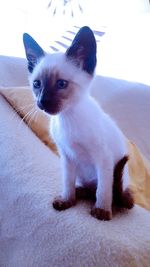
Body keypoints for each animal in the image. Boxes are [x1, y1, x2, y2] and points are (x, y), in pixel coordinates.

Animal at [23, 26, 134, 221]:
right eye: (37, 84)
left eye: (61, 84)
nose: (42, 102)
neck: (67, 118)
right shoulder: (66, 156)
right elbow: (67, 182)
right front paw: (67, 200)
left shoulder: (103, 158)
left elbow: (103, 190)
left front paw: (102, 212)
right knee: (89, 190)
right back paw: (77, 194)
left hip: (116, 176)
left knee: (113, 194)